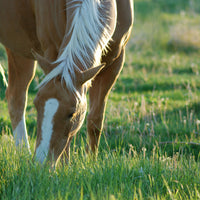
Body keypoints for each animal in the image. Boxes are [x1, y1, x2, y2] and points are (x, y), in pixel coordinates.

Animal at [0, 0, 134, 166]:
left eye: (72, 113)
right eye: (36, 106)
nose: (40, 162)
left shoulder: (115, 62)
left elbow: (95, 119)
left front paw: (92, 161)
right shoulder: (52, 52)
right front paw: (65, 166)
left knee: (15, 96)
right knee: (17, 99)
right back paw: (23, 151)